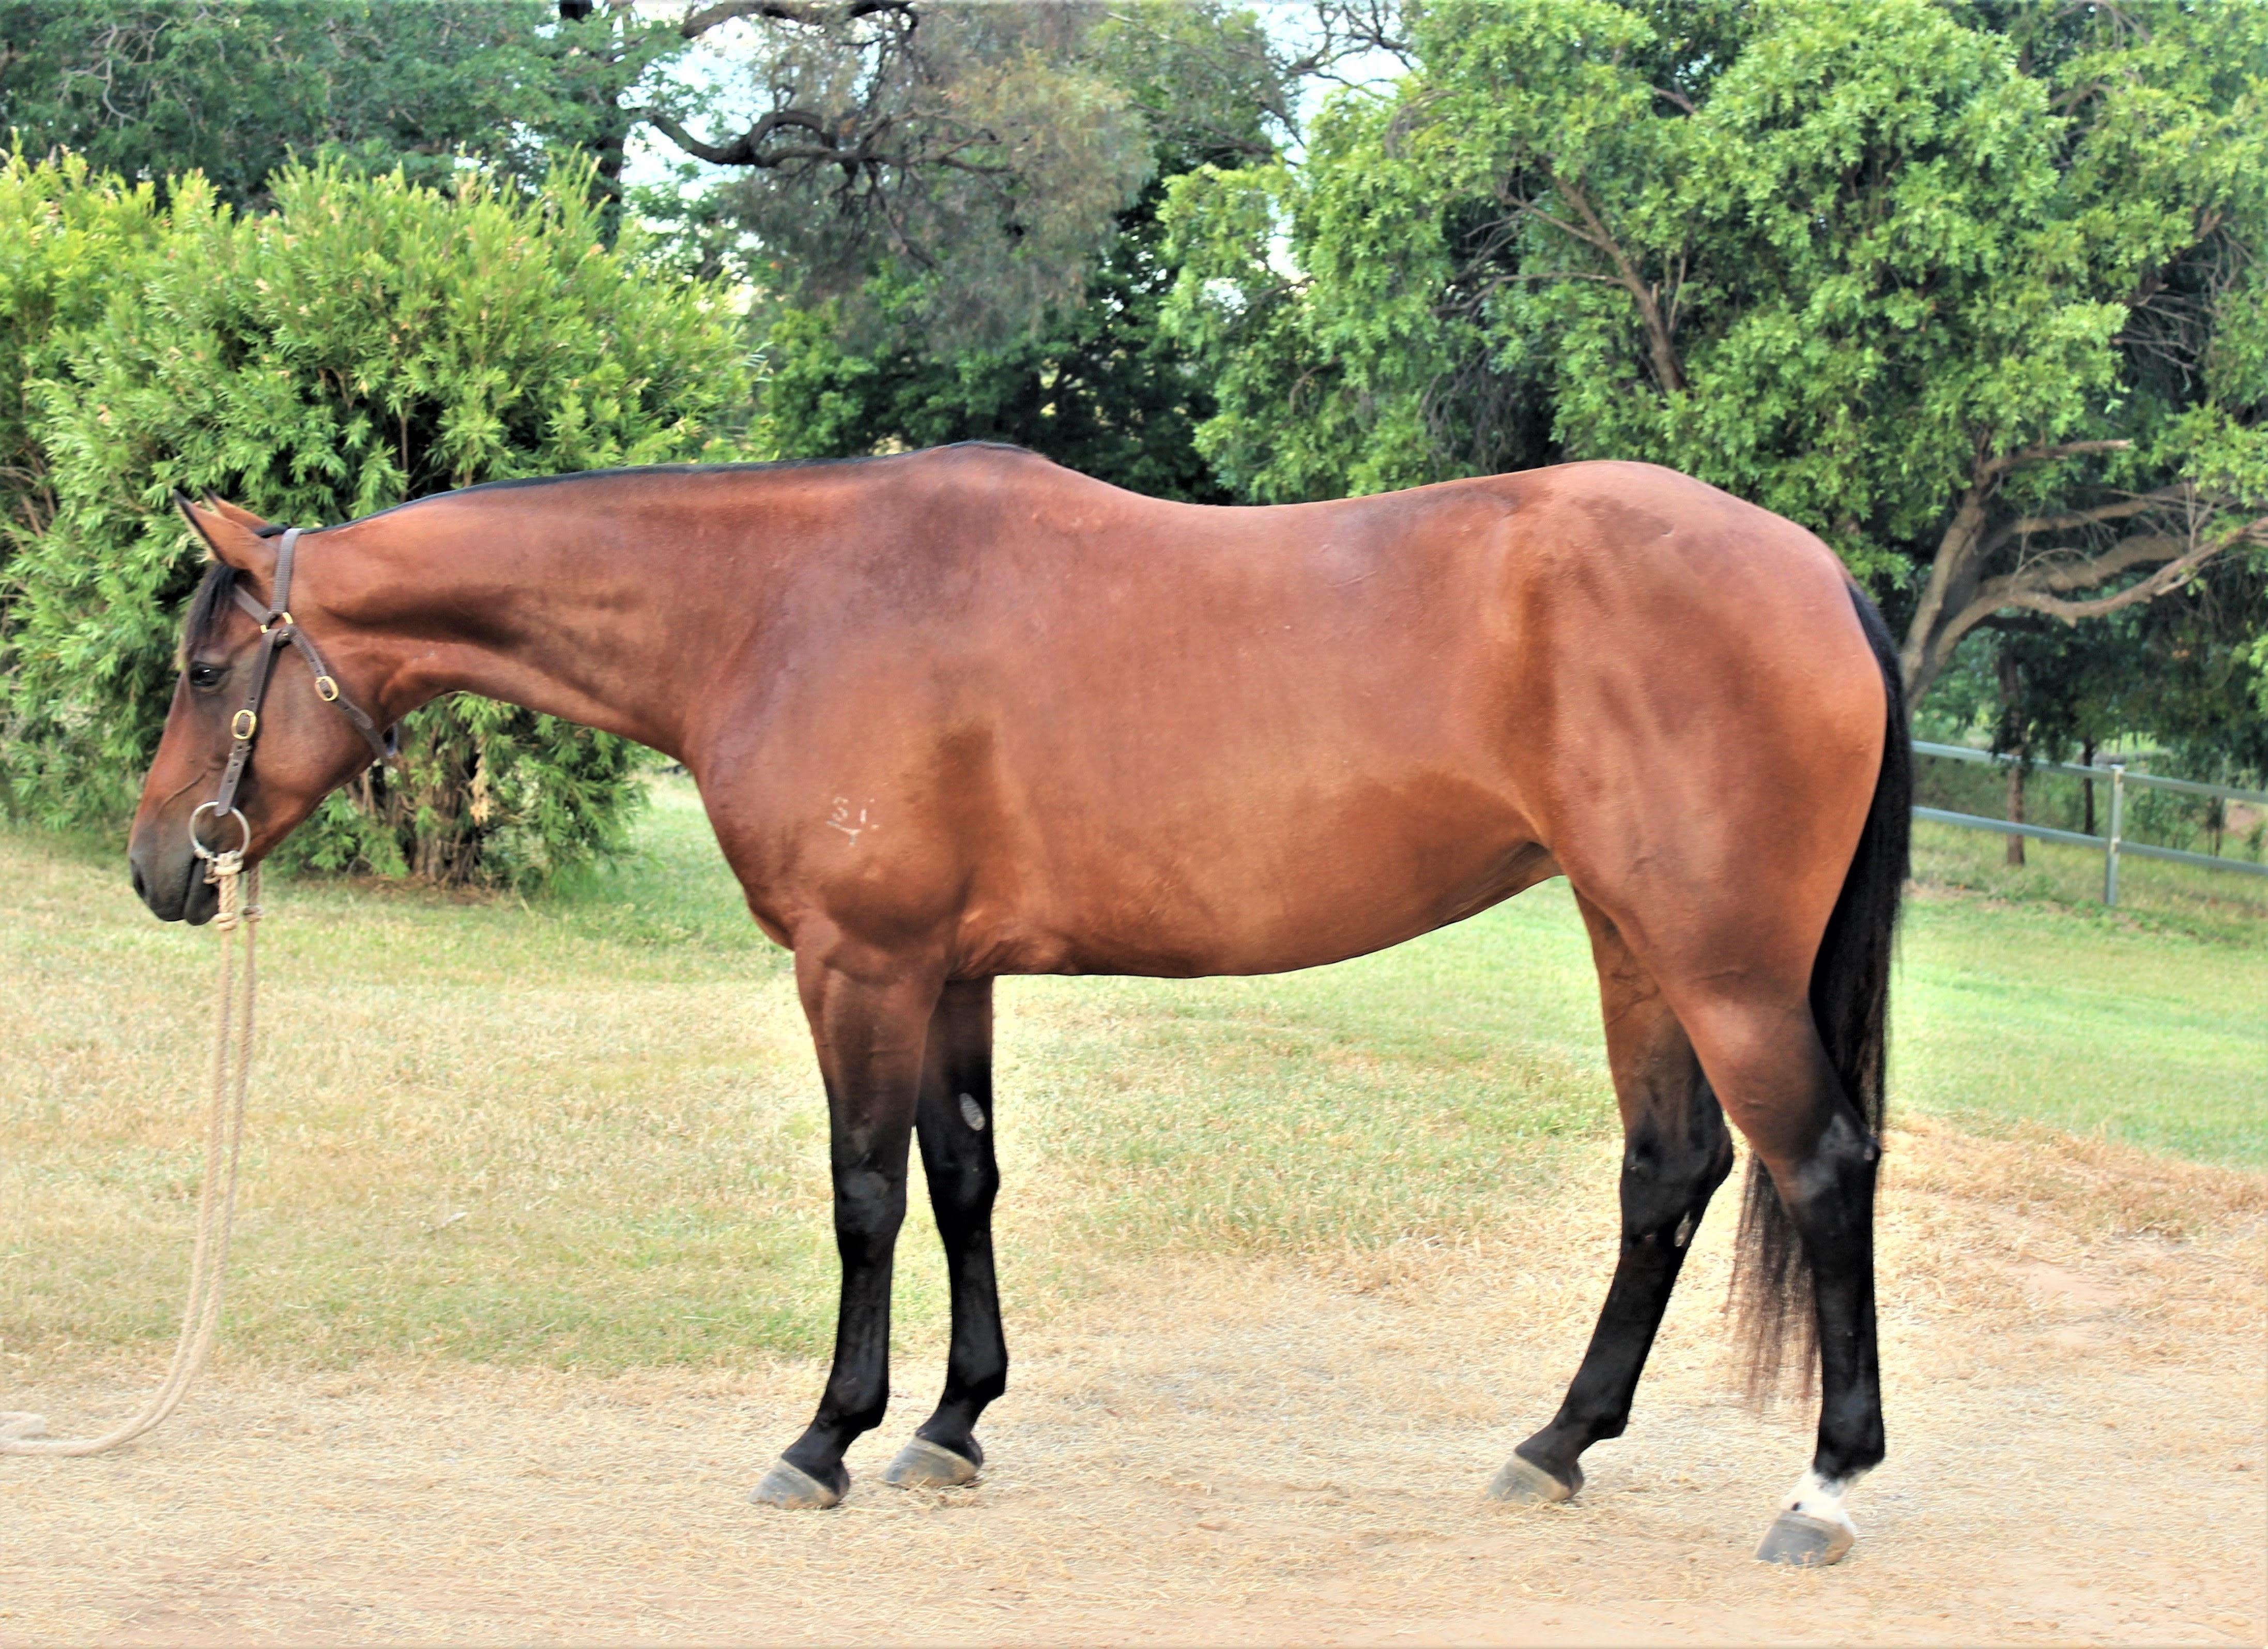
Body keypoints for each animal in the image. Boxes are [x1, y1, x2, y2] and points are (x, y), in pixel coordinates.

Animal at [129, 444, 1908, 1566]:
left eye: (209, 671)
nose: (162, 866)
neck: (778, 603)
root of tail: (1819, 574)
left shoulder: (857, 961)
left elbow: (861, 1195)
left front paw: (826, 1437)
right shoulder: (947, 971)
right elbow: (964, 1176)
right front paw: (951, 1421)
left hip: (1720, 962)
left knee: (1819, 1170)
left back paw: (1823, 1487)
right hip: (1632, 940)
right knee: (1667, 1174)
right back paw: (1555, 1442)